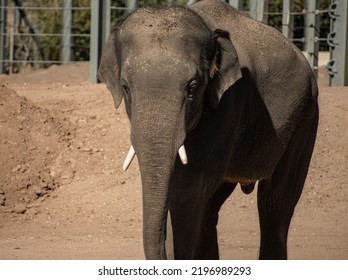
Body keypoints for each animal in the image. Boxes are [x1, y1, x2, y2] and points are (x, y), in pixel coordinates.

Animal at [97, 0, 318, 260]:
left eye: (192, 88)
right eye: (125, 87)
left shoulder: (229, 101)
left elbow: (187, 190)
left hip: (305, 115)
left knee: (275, 203)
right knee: (212, 207)